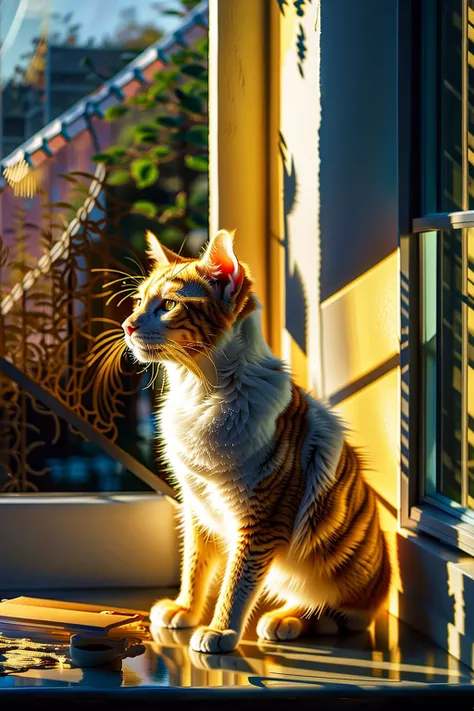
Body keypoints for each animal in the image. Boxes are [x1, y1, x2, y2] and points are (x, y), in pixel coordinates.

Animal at [123, 231, 392, 652]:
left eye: (167, 305)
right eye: (138, 302)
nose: (127, 326)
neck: (199, 394)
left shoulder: (262, 519)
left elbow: (237, 582)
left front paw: (220, 630)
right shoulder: (196, 503)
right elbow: (194, 565)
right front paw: (186, 608)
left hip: (344, 577)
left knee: (346, 613)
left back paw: (290, 618)